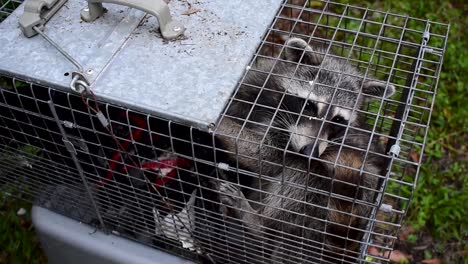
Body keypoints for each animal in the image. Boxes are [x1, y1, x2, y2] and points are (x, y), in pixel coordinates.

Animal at [216, 36, 394, 182]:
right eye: (309, 105)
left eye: (337, 119)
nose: (310, 153)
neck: (275, 107)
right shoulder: (258, 81)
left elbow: (266, 156)